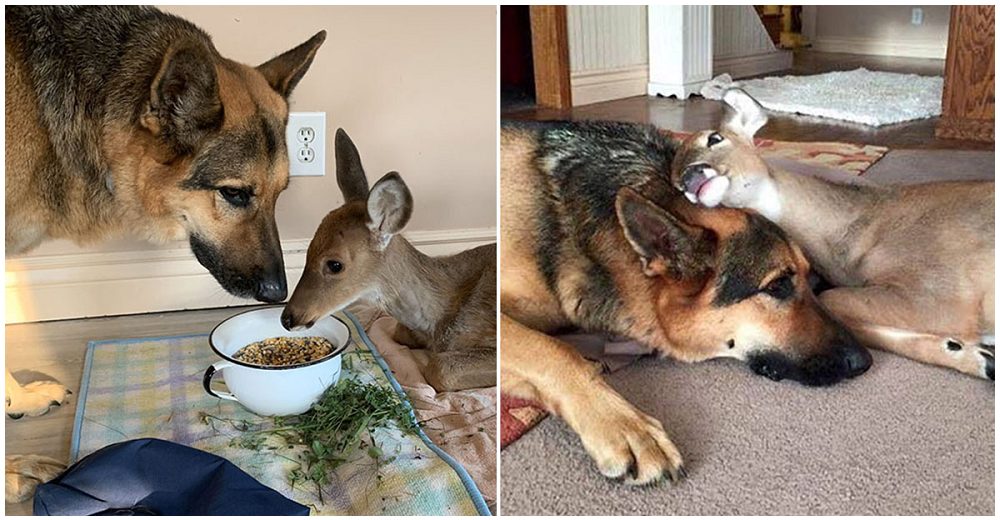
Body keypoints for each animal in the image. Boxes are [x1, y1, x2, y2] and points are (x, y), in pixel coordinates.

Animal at [280, 130, 498, 390]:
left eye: (335, 264)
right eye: (308, 249)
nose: (288, 318)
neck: (437, 320)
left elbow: (440, 369)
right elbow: (399, 332)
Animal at [672, 89, 992, 380]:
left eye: (715, 138)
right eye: (675, 184)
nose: (688, 179)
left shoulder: (941, 291)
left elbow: (830, 298)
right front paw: (976, 355)